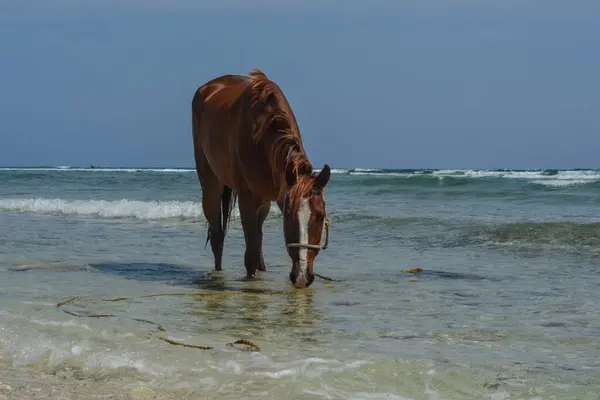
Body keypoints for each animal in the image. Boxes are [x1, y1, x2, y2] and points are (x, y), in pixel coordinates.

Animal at [191, 69, 330, 288]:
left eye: (320, 215)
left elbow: (257, 246)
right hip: (211, 186)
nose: (301, 278)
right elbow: (250, 253)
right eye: (288, 215)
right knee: (217, 236)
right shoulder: (247, 198)